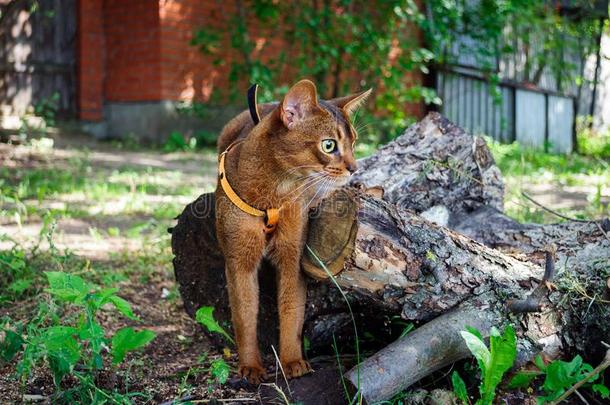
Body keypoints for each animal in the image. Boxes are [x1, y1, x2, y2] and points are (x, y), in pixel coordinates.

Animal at [217, 79, 370, 382]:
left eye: (354, 143)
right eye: (329, 145)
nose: (354, 168)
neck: (274, 192)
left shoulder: (293, 258)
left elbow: (291, 311)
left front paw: (292, 361)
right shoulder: (239, 262)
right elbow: (244, 315)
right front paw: (251, 367)